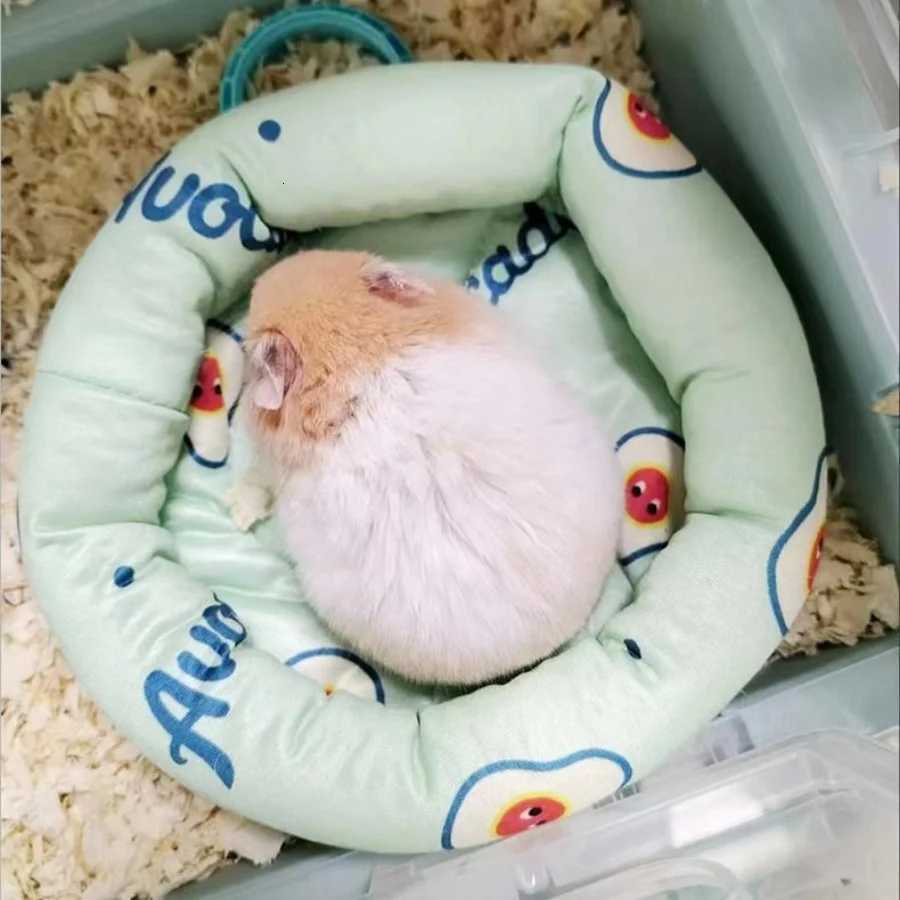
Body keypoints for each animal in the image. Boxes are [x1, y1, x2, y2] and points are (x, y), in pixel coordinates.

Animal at [232, 249, 622, 686]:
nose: (261, 278)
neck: (348, 351)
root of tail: (561, 632)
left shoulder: (267, 463)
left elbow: (256, 478)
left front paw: (237, 512)